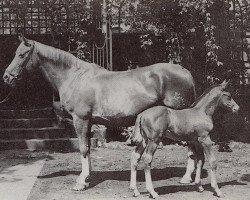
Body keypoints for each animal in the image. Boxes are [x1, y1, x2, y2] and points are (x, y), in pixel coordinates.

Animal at [2, 34, 196, 191]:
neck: (74, 77)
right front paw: (87, 177)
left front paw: (81, 182)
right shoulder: (88, 121)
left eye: (21, 54)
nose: (7, 77)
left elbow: (83, 147)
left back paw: (186, 178)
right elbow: (87, 147)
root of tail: (185, 72)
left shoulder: (80, 119)